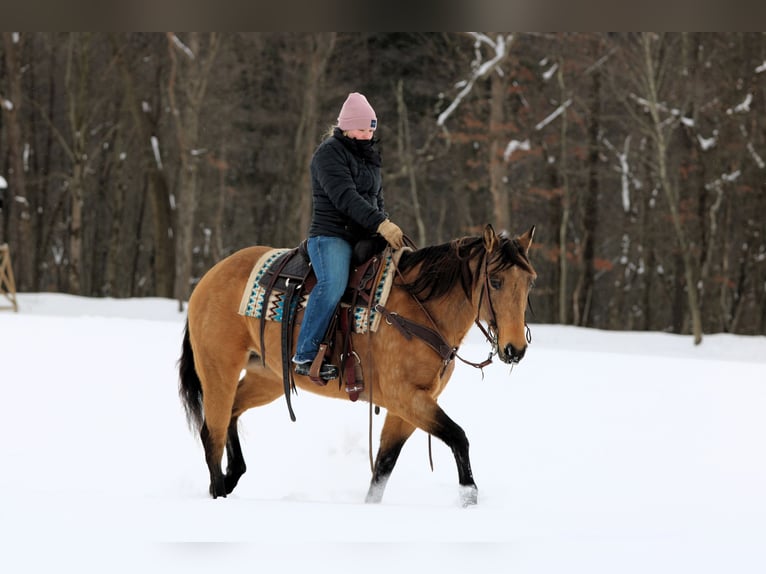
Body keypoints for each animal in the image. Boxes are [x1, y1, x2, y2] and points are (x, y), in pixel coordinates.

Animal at [178, 224, 536, 506]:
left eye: (529, 282)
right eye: (495, 280)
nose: (515, 348)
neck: (419, 310)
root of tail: (209, 278)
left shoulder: (410, 405)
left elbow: (384, 464)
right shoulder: (405, 397)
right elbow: (458, 436)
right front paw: (468, 497)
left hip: (266, 377)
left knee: (232, 413)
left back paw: (233, 476)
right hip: (218, 369)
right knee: (213, 433)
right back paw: (219, 492)